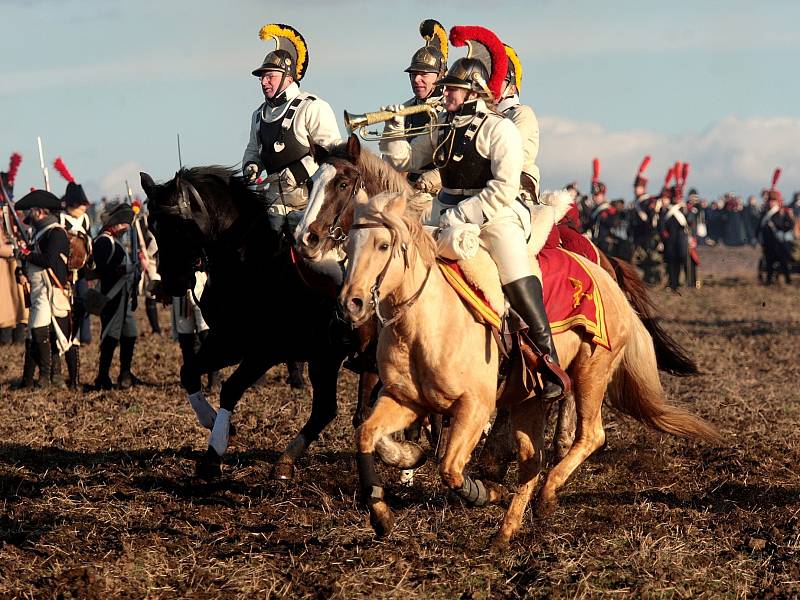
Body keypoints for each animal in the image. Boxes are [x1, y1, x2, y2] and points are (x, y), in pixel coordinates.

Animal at [140, 165, 350, 478]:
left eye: (180, 226)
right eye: (153, 227)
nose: (171, 284)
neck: (250, 262)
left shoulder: (264, 353)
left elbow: (230, 389)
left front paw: (214, 452)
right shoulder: (228, 342)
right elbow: (189, 372)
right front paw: (214, 422)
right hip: (325, 360)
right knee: (325, 409)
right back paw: (286, 461)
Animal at [338, 191, 720, 544]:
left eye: (384, 245)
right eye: (347, 245)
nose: (351, 303)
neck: (428, 322)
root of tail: (609, 280)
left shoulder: (474, 408)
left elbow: (450, 468)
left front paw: (485, 492)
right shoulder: (405, 399)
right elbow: (367, 434)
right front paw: (384, 508)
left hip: (590, 373)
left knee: (589, 435)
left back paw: (546, 495)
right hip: (529, 399)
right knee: (531, 458)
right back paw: (505, 532)